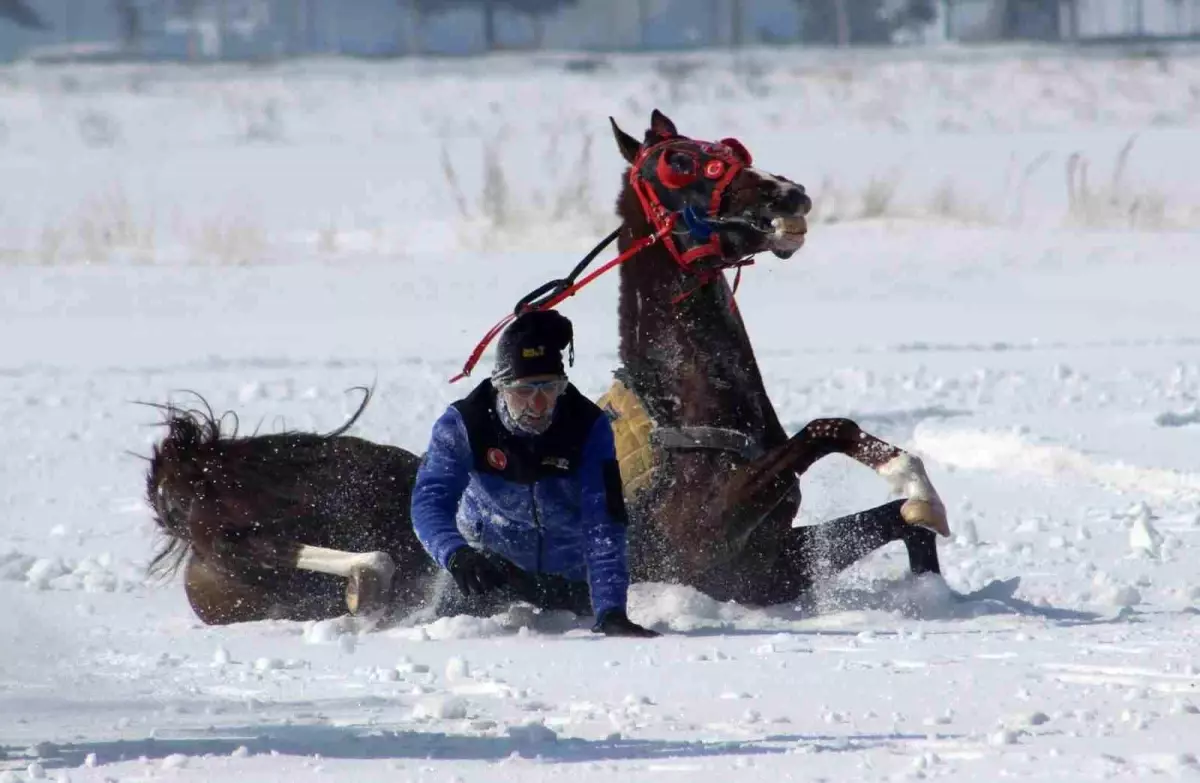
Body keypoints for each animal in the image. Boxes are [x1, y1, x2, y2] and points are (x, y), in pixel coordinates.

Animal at [145, 109, 945, 629]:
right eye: (681, 162)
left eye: (729, 145)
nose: (787, 193)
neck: (682, 407)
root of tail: (199, 490)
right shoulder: (703, 550)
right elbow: (825, 429)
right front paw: (911, 477)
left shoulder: (767, 566)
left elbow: (901, 522)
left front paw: (924, 523)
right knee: (310, 553)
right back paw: (369, 579)